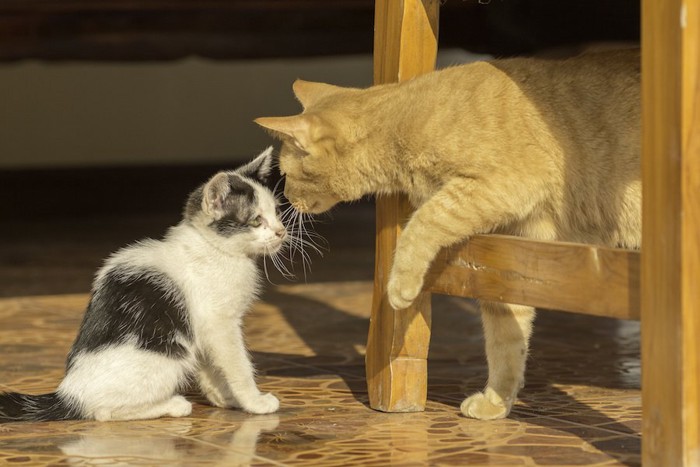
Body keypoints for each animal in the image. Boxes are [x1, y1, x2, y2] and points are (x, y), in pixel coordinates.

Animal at [0, 148, 288, 422]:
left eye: (277, 212)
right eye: (256, 220)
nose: (281, 231)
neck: (216, 249)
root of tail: (70, 393)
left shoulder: (203, 330)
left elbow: (210, 366)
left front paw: (224, 397)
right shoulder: (220, 324)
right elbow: (237, 365)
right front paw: (255, 402)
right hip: (169, 357)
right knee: (103, 412)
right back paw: (173, 405)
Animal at [258, 50, 640, 420]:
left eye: (285, 174)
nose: (286, 198)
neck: (400, 121)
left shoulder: (501, 185)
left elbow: (424, 221)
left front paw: (400, 286)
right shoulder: (511, 259)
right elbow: (506, 341)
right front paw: (496, 402)